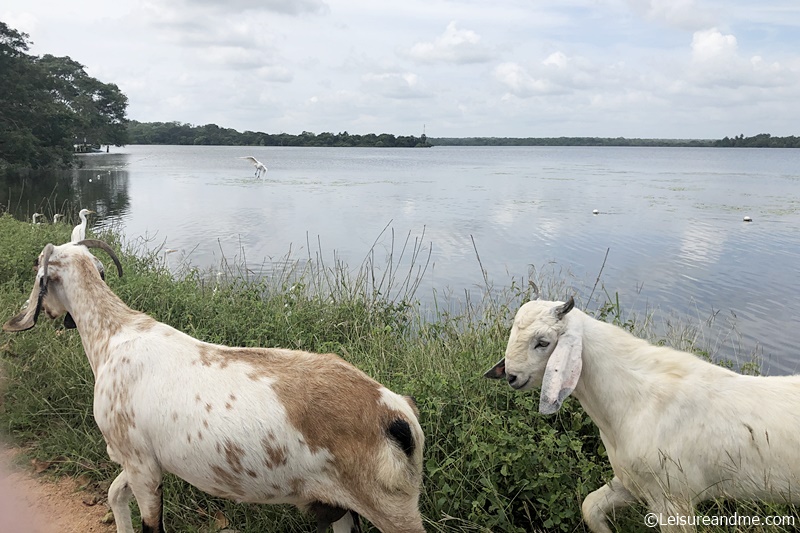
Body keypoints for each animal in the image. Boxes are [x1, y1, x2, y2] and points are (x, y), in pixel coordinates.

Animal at [3, 242, 428, 532]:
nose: (49, 314)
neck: (114, 334)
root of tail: (397, 414)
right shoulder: (143, 458)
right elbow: (112, 493)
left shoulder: (140, 464)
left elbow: (150, 524)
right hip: (343, 507)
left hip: (393, 508)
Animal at [484, 298, 800, 528]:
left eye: (543, 342)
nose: (511, 376)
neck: (637, 398)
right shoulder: (632, 482)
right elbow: (590, 507)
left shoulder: (673, 500)